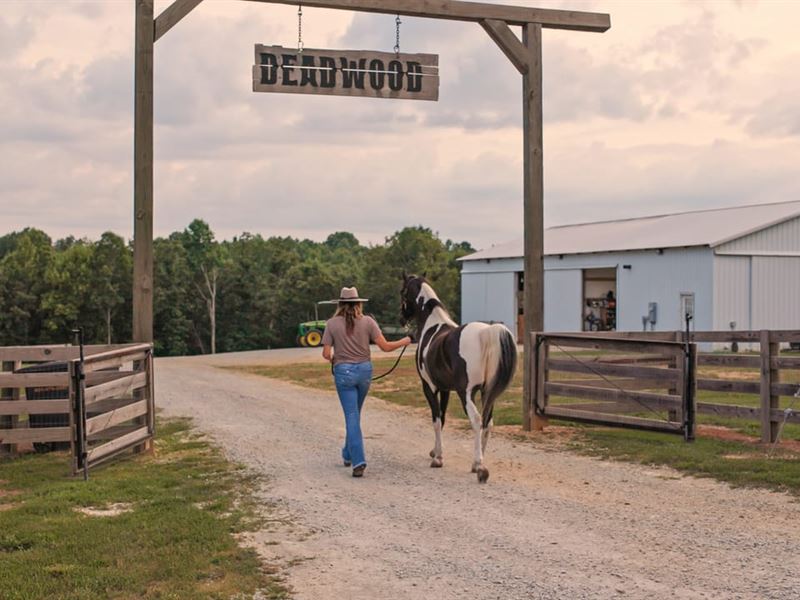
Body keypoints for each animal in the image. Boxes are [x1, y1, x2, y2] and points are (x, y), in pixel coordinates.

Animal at [400, 274, 520, 482]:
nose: (401, 318)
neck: (433, 326)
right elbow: (443, 418)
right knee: (488, 422)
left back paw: (479, 466)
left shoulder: (429, 387)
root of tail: (485, 332)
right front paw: (435, 451)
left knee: (477, 420)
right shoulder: (445, 389)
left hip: (466, 393)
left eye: (402, 291)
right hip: (487, 392)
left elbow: (436, 419)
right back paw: (477, 462)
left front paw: (438, 458)